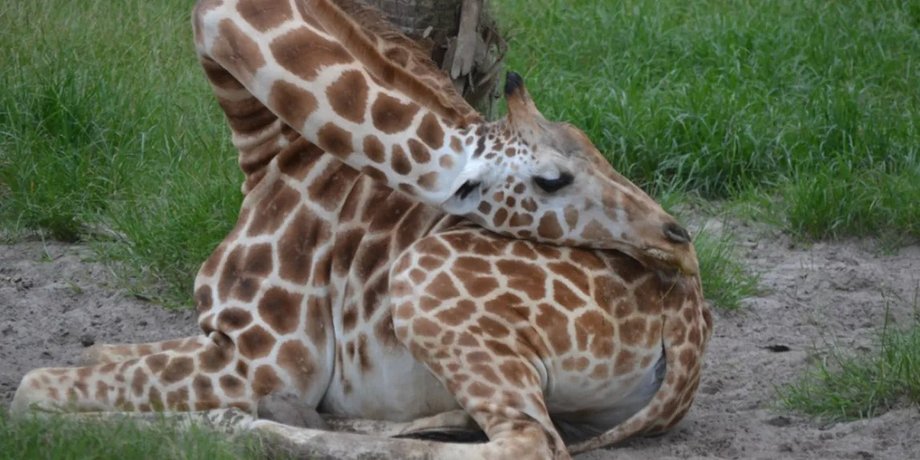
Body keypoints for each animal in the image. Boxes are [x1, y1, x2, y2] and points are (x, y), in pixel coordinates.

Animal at [11, 0, 712, 458]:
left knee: (526, 443)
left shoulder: (260, 359)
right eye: (553, 178)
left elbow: (30, 390)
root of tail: (688, 334)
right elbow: (90, 353)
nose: (677, 241)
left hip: (419, 278)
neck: (265, 147)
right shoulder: (221, 337)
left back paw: (240, 426)